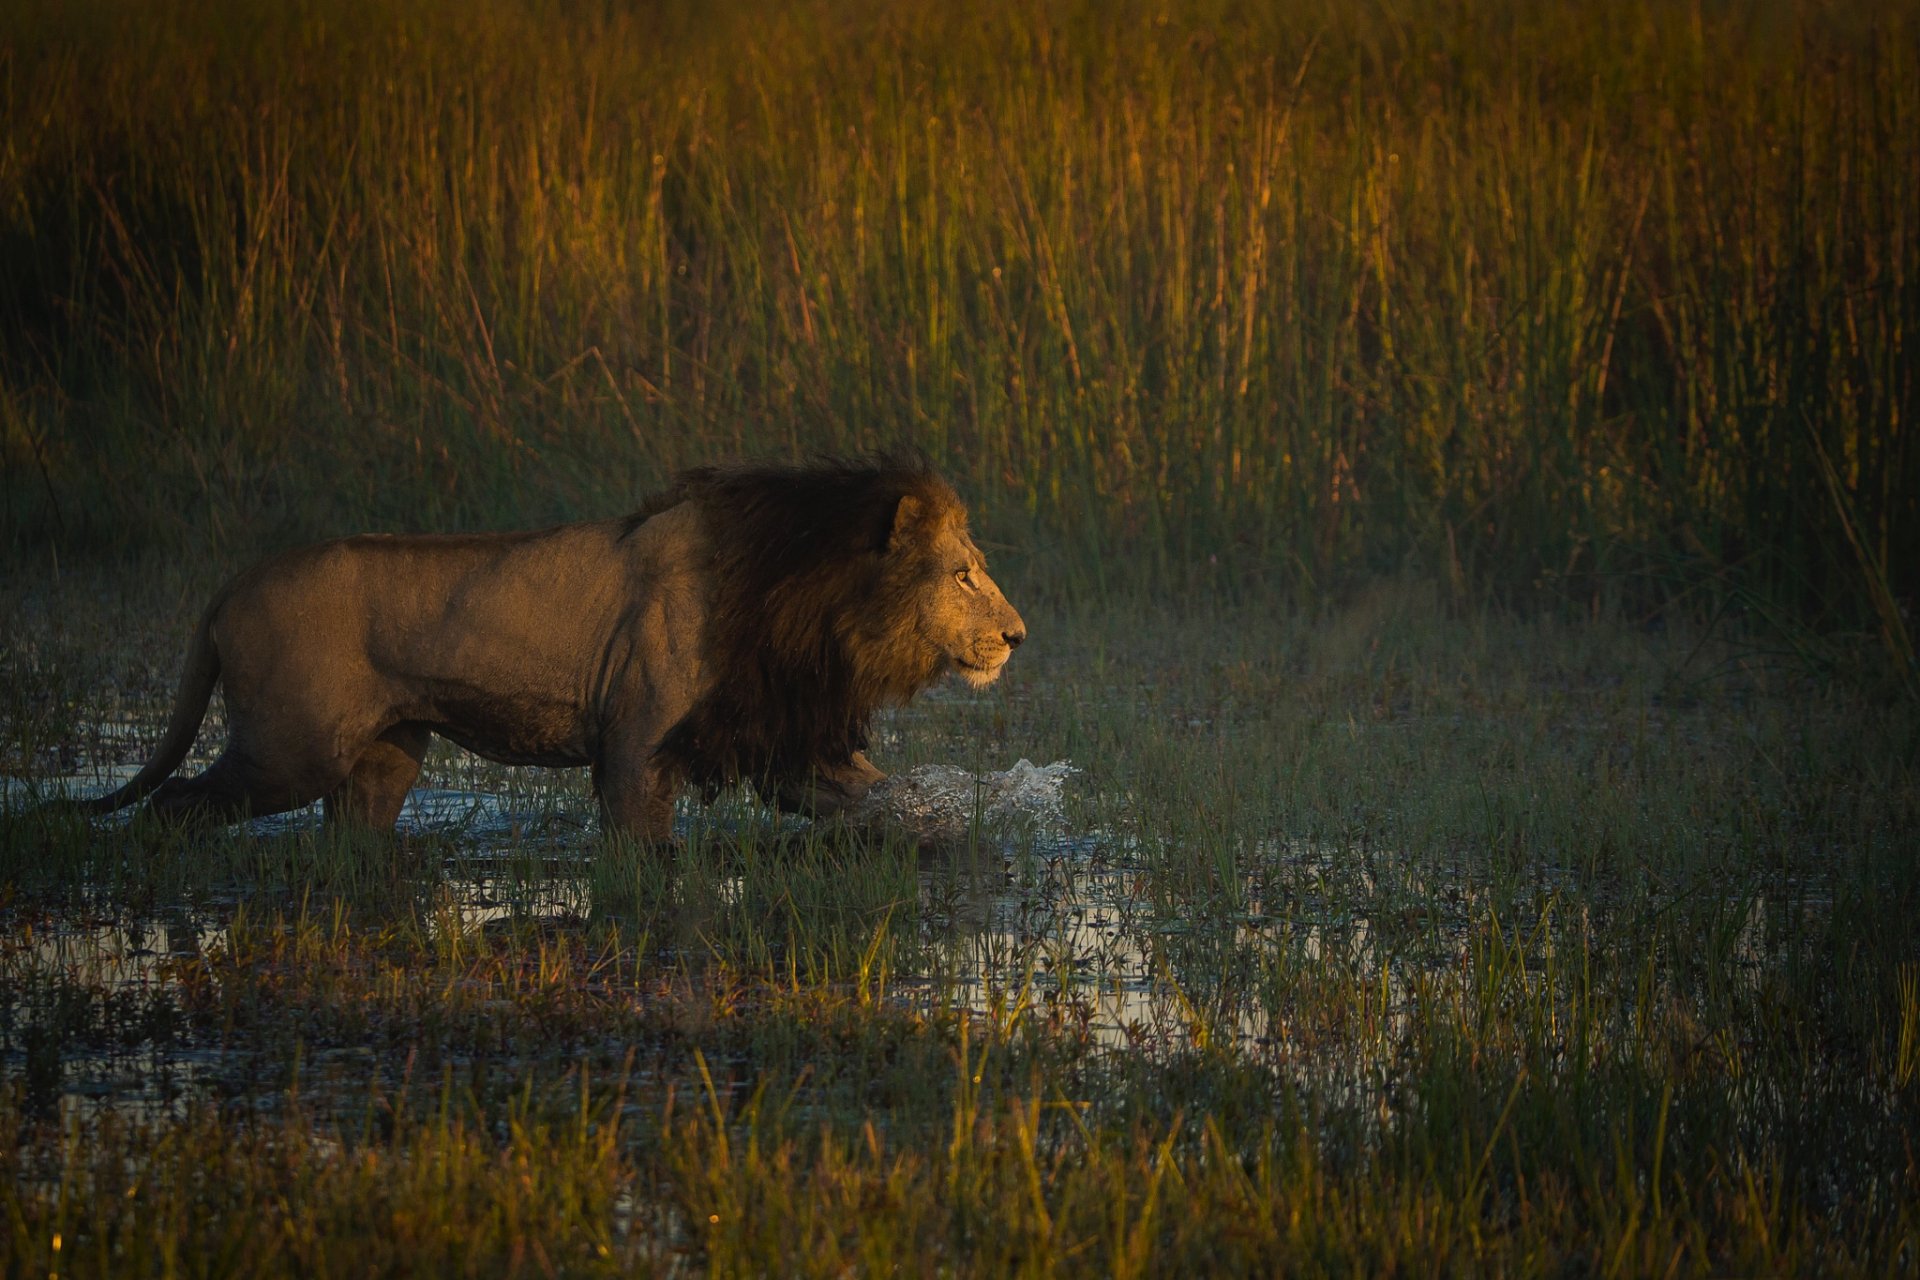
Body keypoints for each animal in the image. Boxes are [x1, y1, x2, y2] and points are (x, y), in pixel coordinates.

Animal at [75, 456, 1026, 842]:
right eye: (964, 575)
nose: (1018, 635)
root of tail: (231, 583)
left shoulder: (777, 741)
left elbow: (878, 799)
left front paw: (947, 839)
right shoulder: (638, 742)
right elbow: (644, 850)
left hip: (383, 759)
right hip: (288, 748)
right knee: (174, 805)